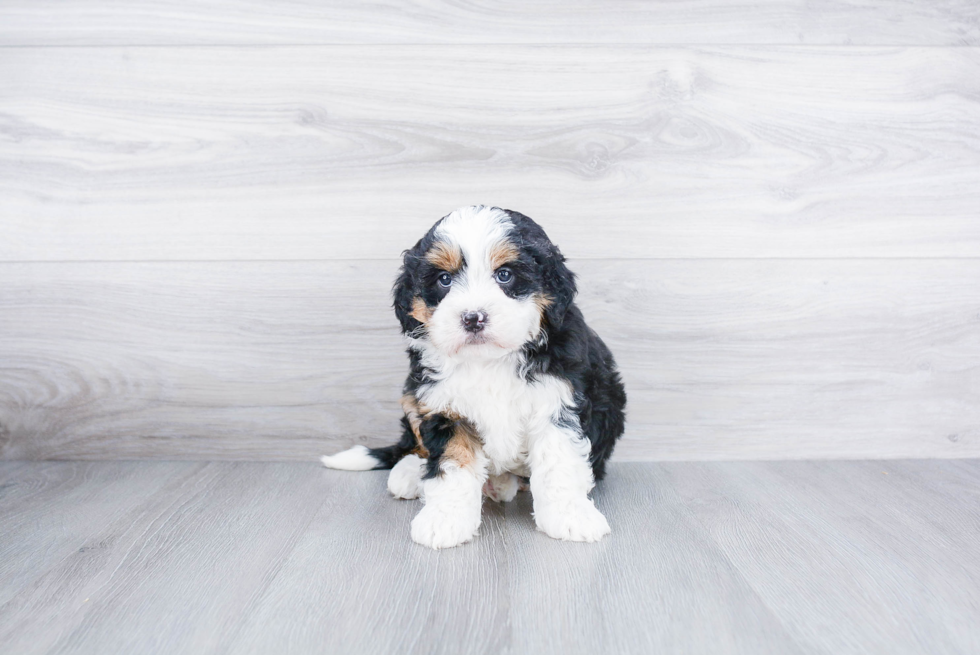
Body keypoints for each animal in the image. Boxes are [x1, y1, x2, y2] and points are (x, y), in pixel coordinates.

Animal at [322, 205, 628, 548]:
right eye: (444, 279)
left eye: (505, 275)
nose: (473, 318)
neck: (488, 359)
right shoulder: (444, 407)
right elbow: (451, 467)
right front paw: (444, 520)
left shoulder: (559, 400)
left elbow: (559, 461)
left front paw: (571, 516)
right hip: (411, 393)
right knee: (415, 443)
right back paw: (412, 473)